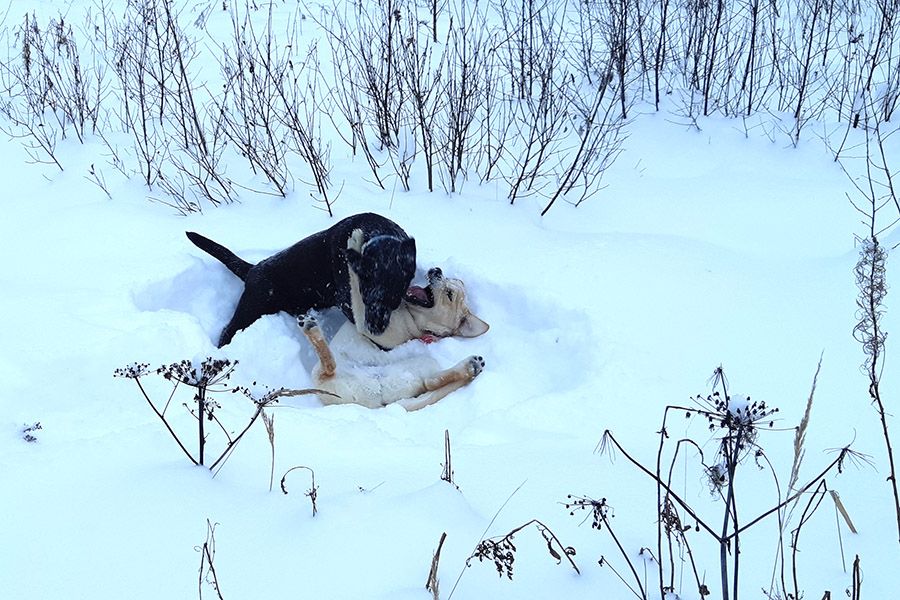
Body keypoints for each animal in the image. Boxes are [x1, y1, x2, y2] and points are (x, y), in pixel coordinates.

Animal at [185, 214, 422, 346]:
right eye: (364, 295)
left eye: (393, 297)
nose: (374, 328)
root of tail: (253, 269)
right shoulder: (347, 302)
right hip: (249, 311)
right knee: (226, 331)